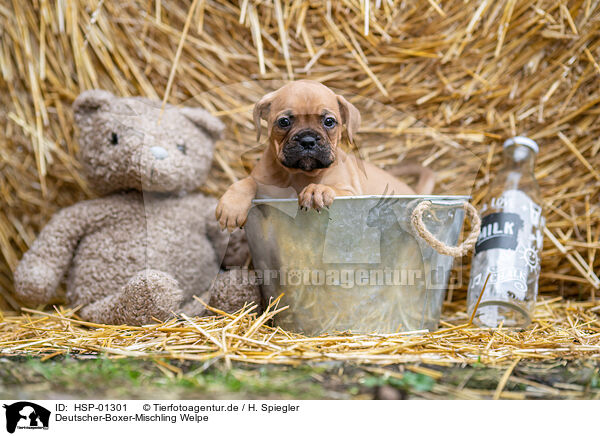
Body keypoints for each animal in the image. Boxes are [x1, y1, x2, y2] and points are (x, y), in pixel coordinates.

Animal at [218, 81, 434, 232]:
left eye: (329, 122)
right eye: (284, 122)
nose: (307, 140)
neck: (299, 175)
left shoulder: (351, 193)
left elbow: (332, 188)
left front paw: (317, 191)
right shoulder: (264, 187)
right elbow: (246, 182)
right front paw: (232, 205)